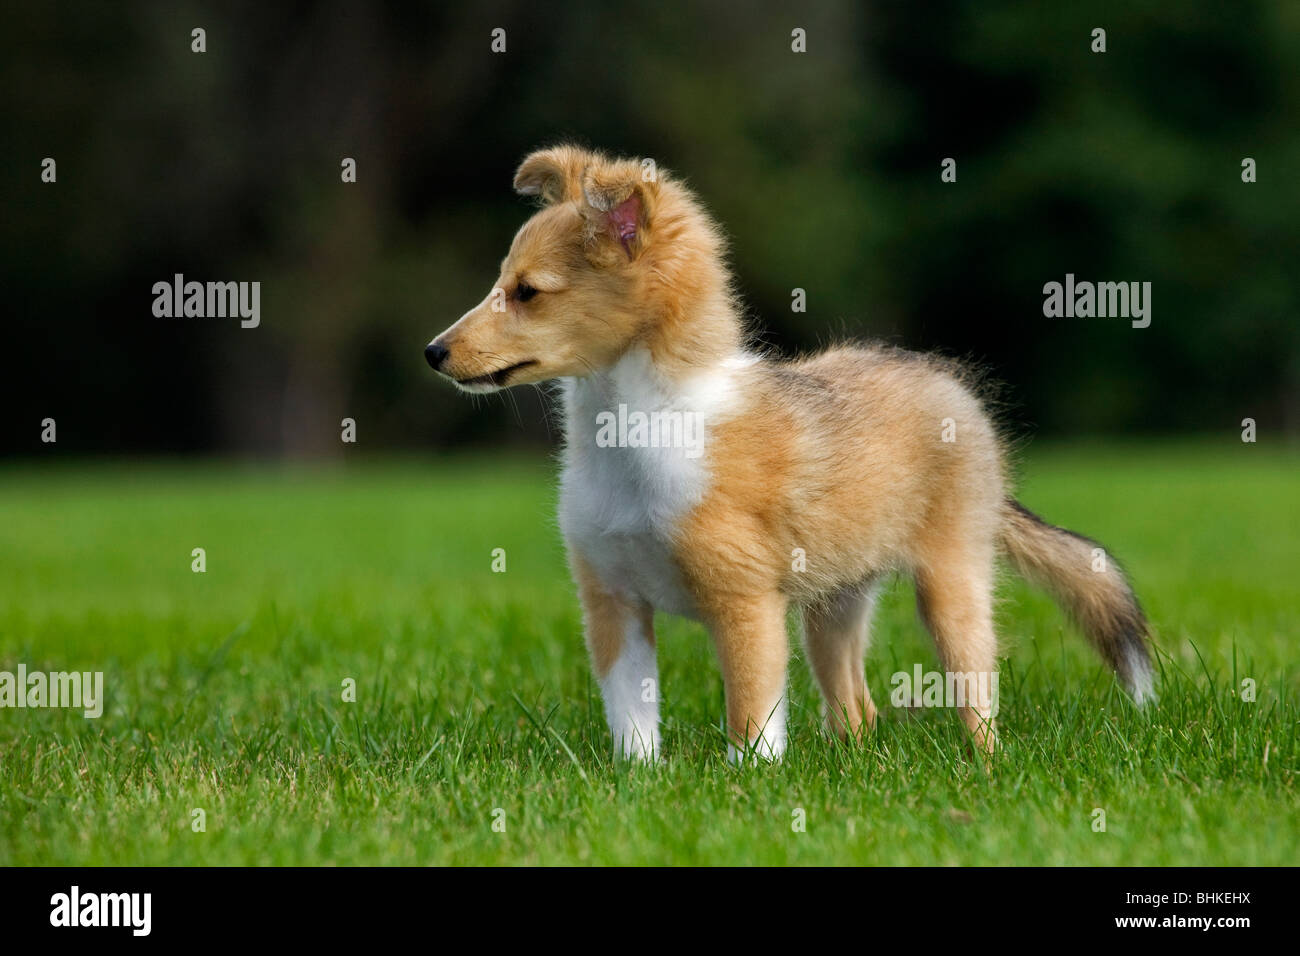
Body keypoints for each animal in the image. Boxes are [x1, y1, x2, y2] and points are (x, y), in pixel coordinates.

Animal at [421, 147, 1154, 764]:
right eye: (502, 283)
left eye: (528, 292)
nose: (433, 353)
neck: (637, 436)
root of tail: (947, 385)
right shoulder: (613, 603)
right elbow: (632, 719)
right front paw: (640, 783)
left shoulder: (744, 602)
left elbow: (752, 716)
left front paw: (750, 787)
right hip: (833, 604)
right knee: (856, 707)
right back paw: (851, 760)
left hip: (951, 582)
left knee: (978, 693)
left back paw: (984, 766)